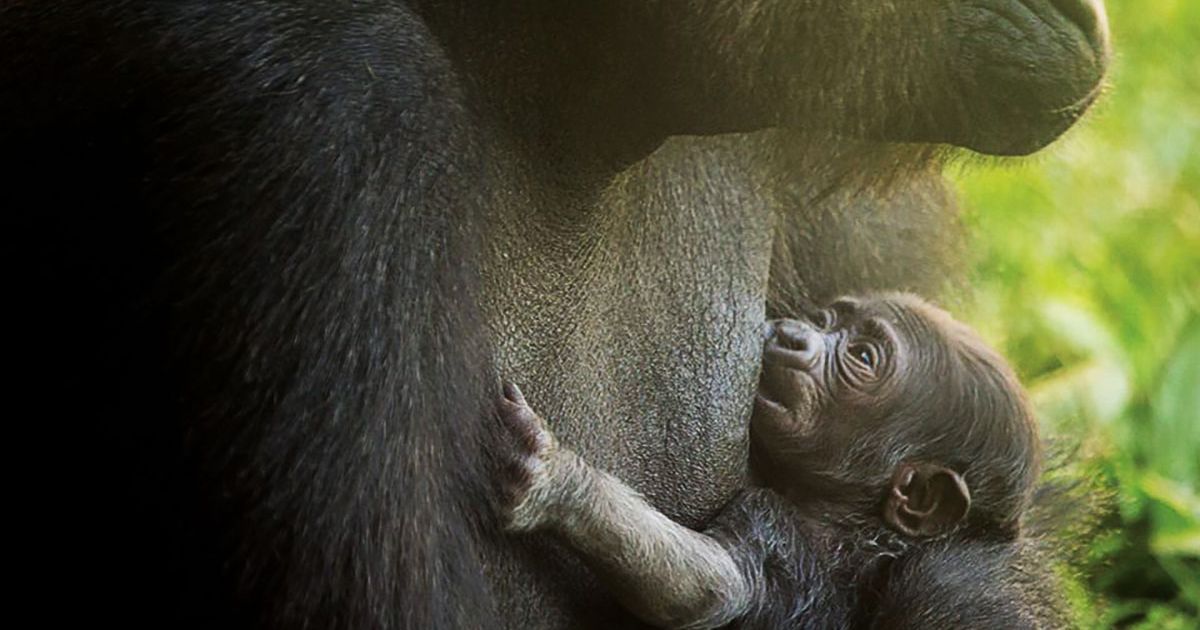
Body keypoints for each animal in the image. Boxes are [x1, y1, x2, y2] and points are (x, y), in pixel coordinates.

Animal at [496, 293, 1048, 629]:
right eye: (827, 320)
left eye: (863, 357)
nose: (793, 333)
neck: (854, 522)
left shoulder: (773, 525)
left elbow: (710, 583)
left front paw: (561, 485)